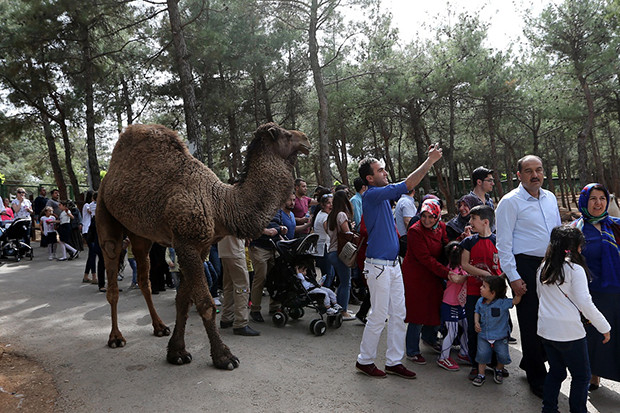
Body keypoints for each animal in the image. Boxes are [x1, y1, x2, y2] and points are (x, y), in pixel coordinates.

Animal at [97, 121, 310, 366]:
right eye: (286, 135)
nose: (305, 138)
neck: (220, 204)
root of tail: (108, 176)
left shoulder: (202, 245)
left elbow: (183, 300)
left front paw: (176, 352)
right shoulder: (186, 242)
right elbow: (205, 303)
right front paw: (224, 356)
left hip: (140, 236)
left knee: (144, 278)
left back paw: (159, 327)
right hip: (105, 215)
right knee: (112, 274)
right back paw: (115, 337)